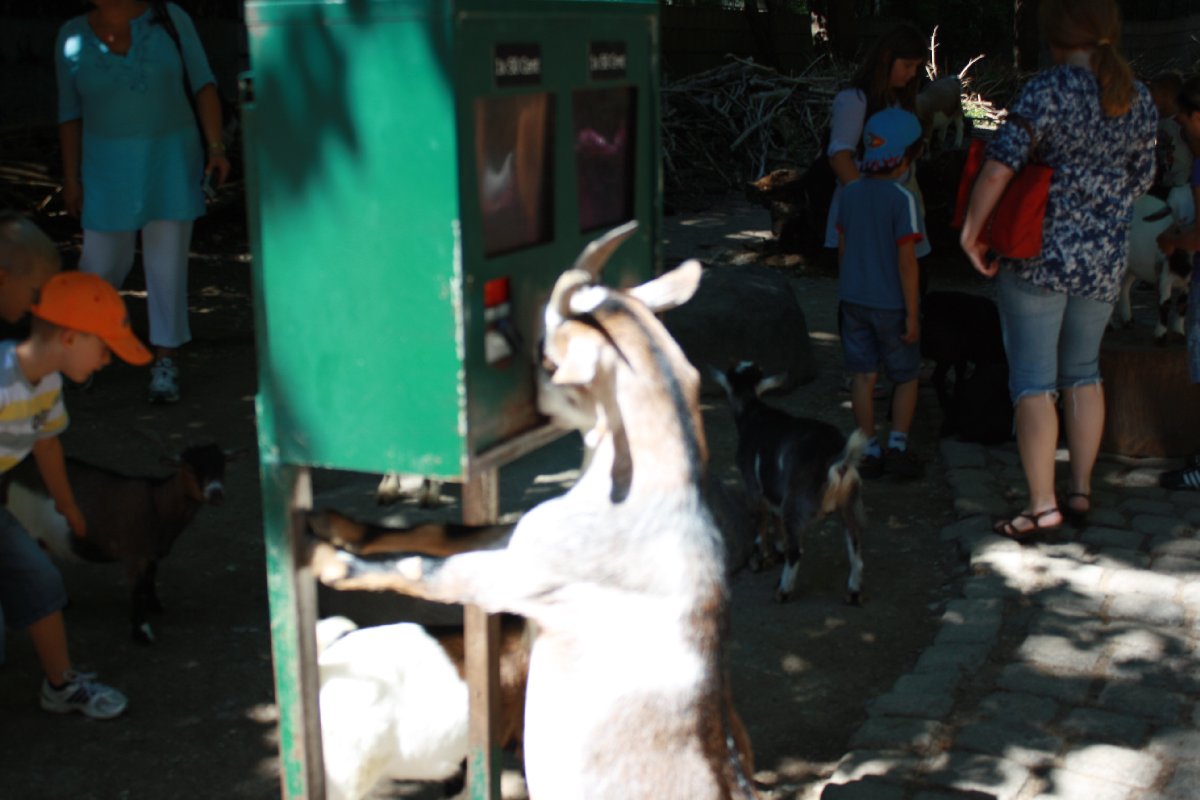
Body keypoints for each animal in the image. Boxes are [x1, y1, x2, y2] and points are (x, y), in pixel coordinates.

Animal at [3, 443, 236, 643]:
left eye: (222, 466)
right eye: (188, 468)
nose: (216, 494)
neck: (157, 503)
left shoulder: (150, 553)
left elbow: (151, 577)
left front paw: (155, 605)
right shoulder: (134, 555)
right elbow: (137, 590)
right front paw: (142, 632)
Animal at [712, 362, 867, 605]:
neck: (753, 412)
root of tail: (838, 461)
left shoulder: (753, 485)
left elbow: (760, 521)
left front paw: (759, 560)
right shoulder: (774, 490)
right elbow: (775, 519)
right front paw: (778, 550)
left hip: (795, 505)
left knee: (797, 551)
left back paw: (783, 590)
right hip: (849, 502)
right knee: (855, 544)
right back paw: (853, 591)